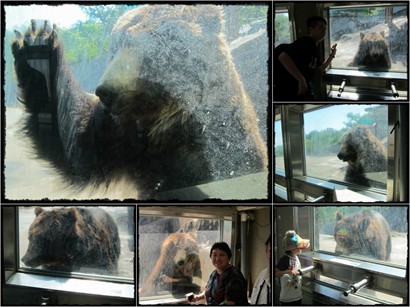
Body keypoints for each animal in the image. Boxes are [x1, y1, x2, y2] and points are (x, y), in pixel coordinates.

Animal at [10, 6, 270, 202]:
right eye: (116, 45)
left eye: (145, 48)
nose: (105, 91)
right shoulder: (119, 135)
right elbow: (77, 147)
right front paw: (37, 47)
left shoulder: (220, 145)